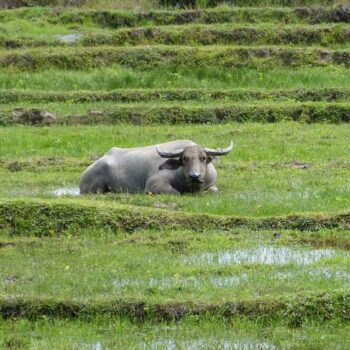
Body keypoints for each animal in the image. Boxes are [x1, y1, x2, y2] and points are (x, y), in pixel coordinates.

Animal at [79, 139, 232, 194]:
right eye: (185, 158)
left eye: (203, 158)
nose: (195, 176)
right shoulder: (154, 184)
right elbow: (175, 192)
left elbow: (214, 190)